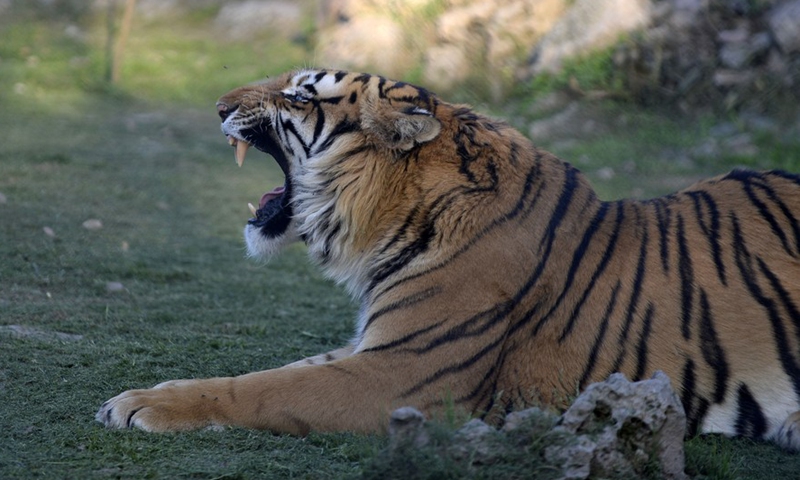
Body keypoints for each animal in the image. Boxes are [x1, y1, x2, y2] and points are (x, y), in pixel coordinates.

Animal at [98, 69, 800, 452]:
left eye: (301, 95)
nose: (217, 107)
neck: (389, 220)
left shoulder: (406, 375)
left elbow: (264, 390)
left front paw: (137, 407)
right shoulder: (374, 346)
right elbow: (266, 372)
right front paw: (146, 393)